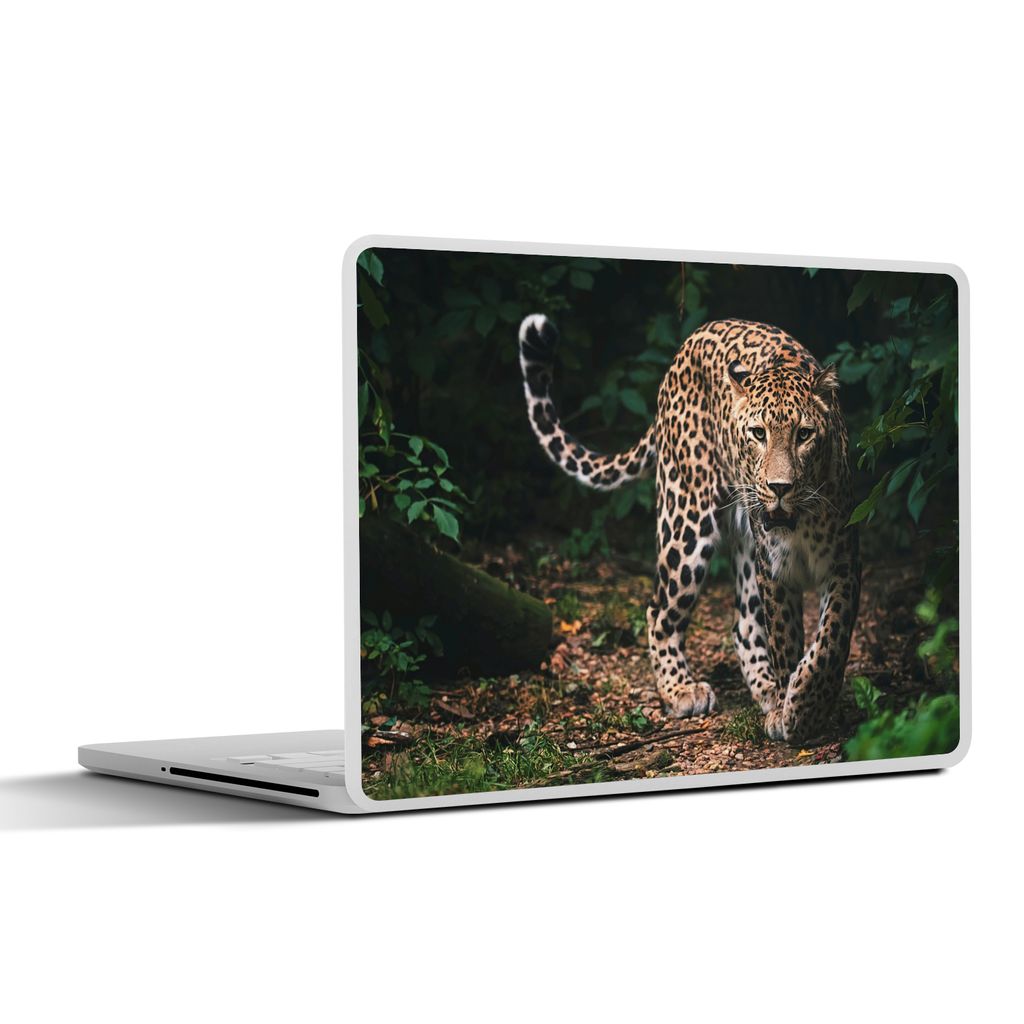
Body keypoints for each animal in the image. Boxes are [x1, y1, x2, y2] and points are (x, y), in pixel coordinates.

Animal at [518, 313, 861, 742]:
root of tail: (690, 341)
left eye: (804, 434)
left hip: (742, 540)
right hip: (687, 521)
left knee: (743, 623)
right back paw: (681, 690)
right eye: (758, 434)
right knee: (658, 612)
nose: (779, 488)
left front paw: (806, 705)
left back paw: (766, 692)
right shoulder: (775, 571)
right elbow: (786, 640)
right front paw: (792, 711)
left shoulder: (844, 562)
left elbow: (832, 640)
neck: (801, 521)